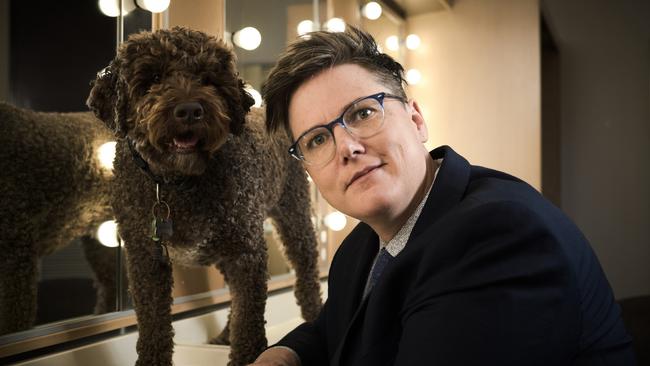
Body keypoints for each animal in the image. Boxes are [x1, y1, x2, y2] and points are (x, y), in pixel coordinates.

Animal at [87, 26, 320, 366]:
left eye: (208, 78)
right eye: (153, 77)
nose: (189, 110)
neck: (175, 184)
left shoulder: (246, 251)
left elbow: (249, 320)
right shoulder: (145, 259)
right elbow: (153, 324)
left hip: (293, 216)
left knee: (307, 275)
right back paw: (224, 335)